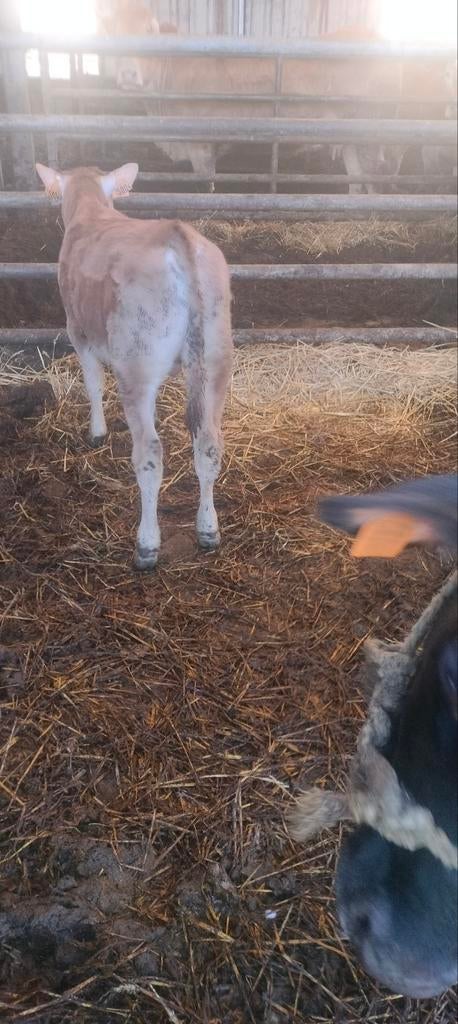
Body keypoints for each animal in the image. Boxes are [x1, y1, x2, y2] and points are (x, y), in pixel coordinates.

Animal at [35, 161, 233, 568]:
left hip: (136, 365)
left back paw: (146, 545)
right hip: (216, 358)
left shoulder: (77, 329)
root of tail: (177, 237)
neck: (92, 210)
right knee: (209, 443)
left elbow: (92, 381)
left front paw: (96, 432)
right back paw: (208, 530)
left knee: (150, 453)